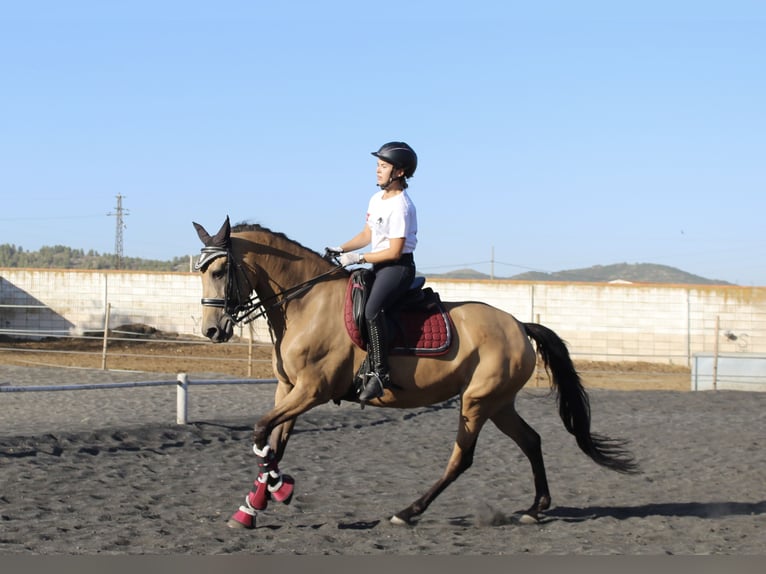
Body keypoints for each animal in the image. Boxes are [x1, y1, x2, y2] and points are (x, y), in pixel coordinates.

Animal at [194, 218, 640, 532]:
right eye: (201, 271)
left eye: (219, 272)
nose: (212, 331)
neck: (306, 303)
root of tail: (518, 324)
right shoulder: (289, 390)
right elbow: (271, 445)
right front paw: (252, 507)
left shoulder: (311, 391)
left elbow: (260, 433)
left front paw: (279, 490)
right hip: (498, 403)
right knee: (531, 441)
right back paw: (535, 509)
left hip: (476, 402)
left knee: (462, 458)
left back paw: (408, 512)